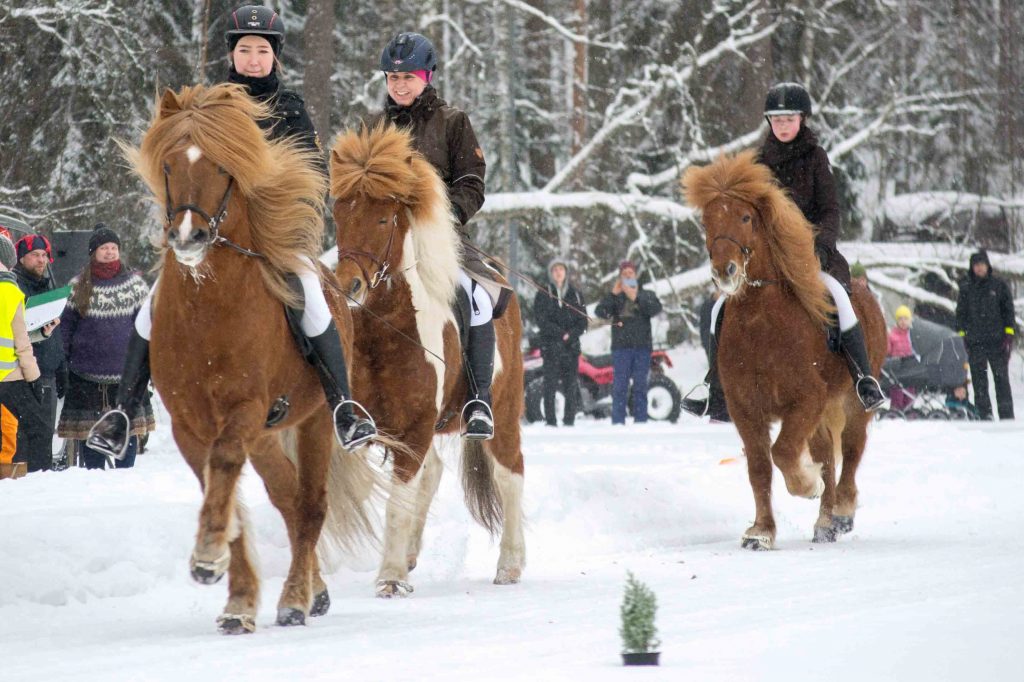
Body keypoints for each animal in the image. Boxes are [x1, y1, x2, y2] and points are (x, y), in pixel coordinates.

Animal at [126, 83, 383, 632]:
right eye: (169, 164)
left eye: (223, 166)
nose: (188, 238)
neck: (207, 307)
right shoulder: (190, 423)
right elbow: (219, 487)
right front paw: (238, 599)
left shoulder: (243, 410)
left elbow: (224, 465)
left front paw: (208, 554)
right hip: (266, 437)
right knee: (287, 498)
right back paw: (314, 592)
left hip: (313, 422)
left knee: (309, 504)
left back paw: (295, 599)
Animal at [329, 124, 526, 596]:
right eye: (339, 215)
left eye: (384, 218)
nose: (349, 287)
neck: (385, 332)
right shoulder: (366, 428)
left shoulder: (415, 429)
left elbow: (397, 502)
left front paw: (390, 578)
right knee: (434, 473)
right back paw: (412, 553)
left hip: (503, 410)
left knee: (510, 474)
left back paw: (510, 565)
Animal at [682, 150, 886, 550]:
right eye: (708, 220)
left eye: (746, 217)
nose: (725, 271)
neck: (762, 323)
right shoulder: (746, 409)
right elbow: (760, 466)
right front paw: (760, 532)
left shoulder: (807, 399)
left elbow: (784, 452)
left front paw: (807, 484)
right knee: (827, 454)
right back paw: (825, 522)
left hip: (852, 405)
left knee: (851, 452)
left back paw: (841, 512)